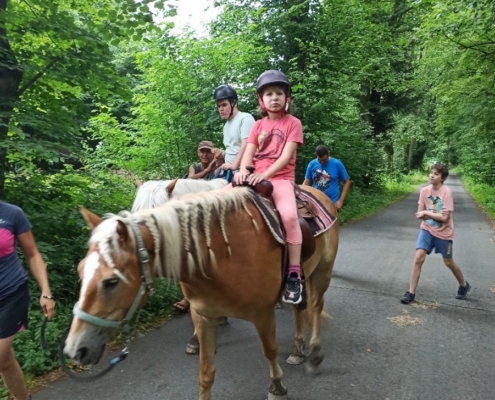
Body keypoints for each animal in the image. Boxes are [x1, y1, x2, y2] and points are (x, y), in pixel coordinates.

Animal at [64, 186, 340, 398]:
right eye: (80, 270)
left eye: (111, 281)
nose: (75, 349)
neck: (222, 255)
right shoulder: (204, 317)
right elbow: (205, 373)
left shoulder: (263, 314)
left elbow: (269, 351)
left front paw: (277, 386)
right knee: (298, 309)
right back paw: (297, 350)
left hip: (322, 273)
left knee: (315, 308)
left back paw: (314, 353)